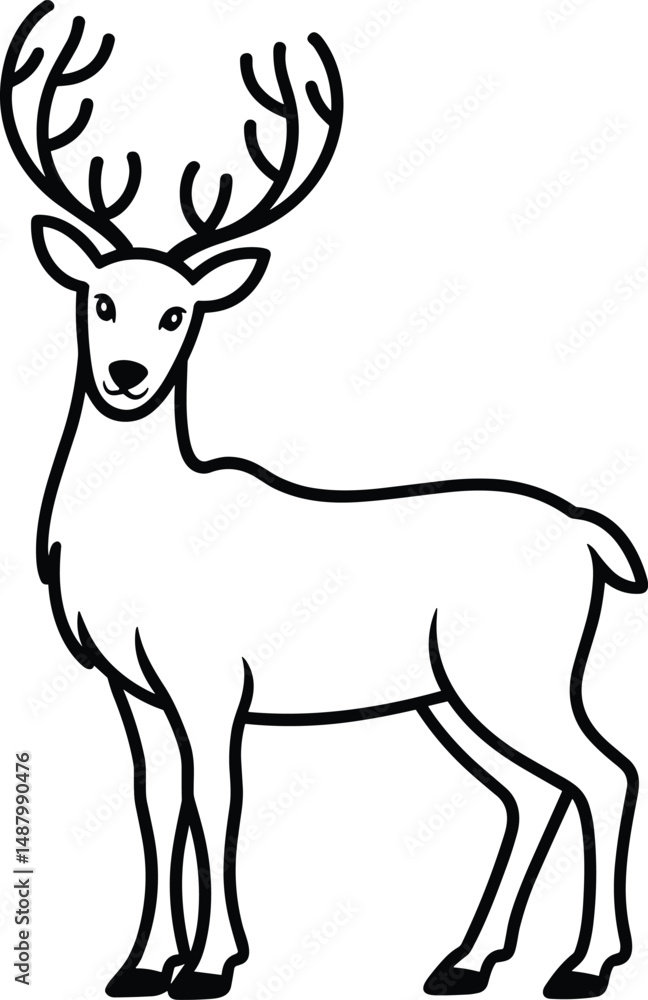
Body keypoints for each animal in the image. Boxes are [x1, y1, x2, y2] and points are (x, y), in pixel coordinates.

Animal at [3, 3, 646, 998]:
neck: (134, 539)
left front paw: (212, 963)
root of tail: (593, 540)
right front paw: (141, 964)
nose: (127, 376)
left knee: (605, 773)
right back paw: (467, 960)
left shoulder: (211, 676)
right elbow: (154, 806)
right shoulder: (130, 686)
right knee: (533, 791)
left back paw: (584, 965)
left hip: (517, 670)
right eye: (100, 301)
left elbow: (215, 799)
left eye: (179, 313)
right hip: (449, 696)